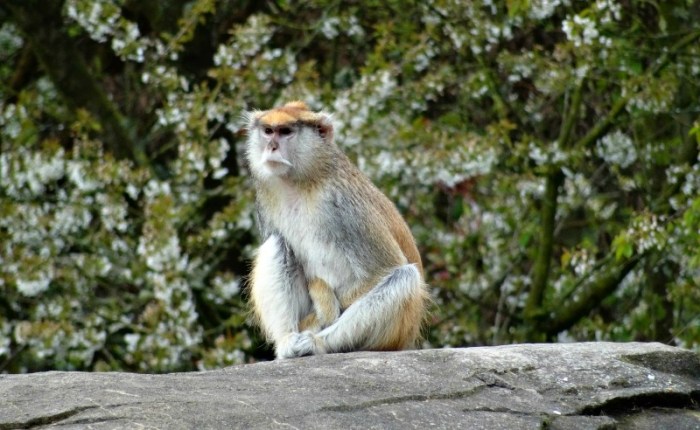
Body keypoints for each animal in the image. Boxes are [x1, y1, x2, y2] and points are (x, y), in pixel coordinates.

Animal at [245, 101, 428, 359]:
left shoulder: (342, 205)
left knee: (405, 277)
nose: (271, 147)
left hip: (398, 332)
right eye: (268, 131)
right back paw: (288, 341)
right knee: (277, 243)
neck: (303, 181)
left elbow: (385, 269)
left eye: (286, 132)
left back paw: (317, 343)